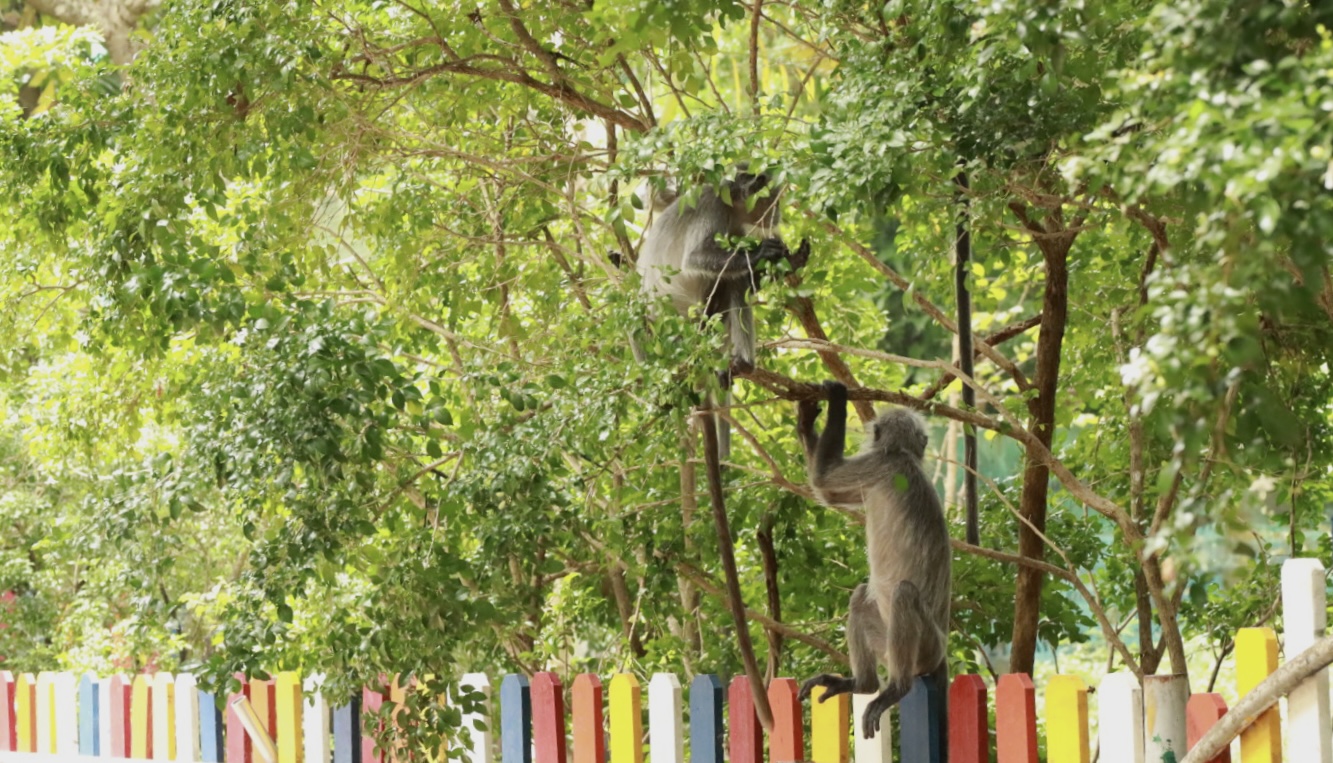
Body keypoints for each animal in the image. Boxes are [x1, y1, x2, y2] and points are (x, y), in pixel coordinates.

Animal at [794, 381, 954, 746]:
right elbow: (829, 494)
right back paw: (862, 684)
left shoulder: (882, 464)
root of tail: (941, 650)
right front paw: (807, 418)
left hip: (924, 646)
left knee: (903, 594)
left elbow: (823, 482)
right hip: (888, 642)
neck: (904, 457)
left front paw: (836, 398)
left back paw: (896, 688)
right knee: (861, 594)